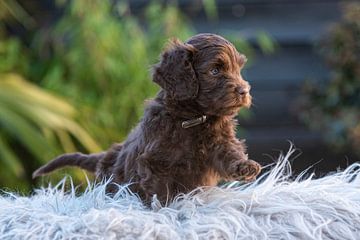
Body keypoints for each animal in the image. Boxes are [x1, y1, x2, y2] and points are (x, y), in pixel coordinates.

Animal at [33, 33, 262, 204]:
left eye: (238, 69)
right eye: (215, 70)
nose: (244, 91)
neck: (193, 118)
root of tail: (107, 155)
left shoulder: (219, 142)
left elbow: (229, 153)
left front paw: (245, 166)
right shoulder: (155, 163)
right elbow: (160, 193)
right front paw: (166, 212)